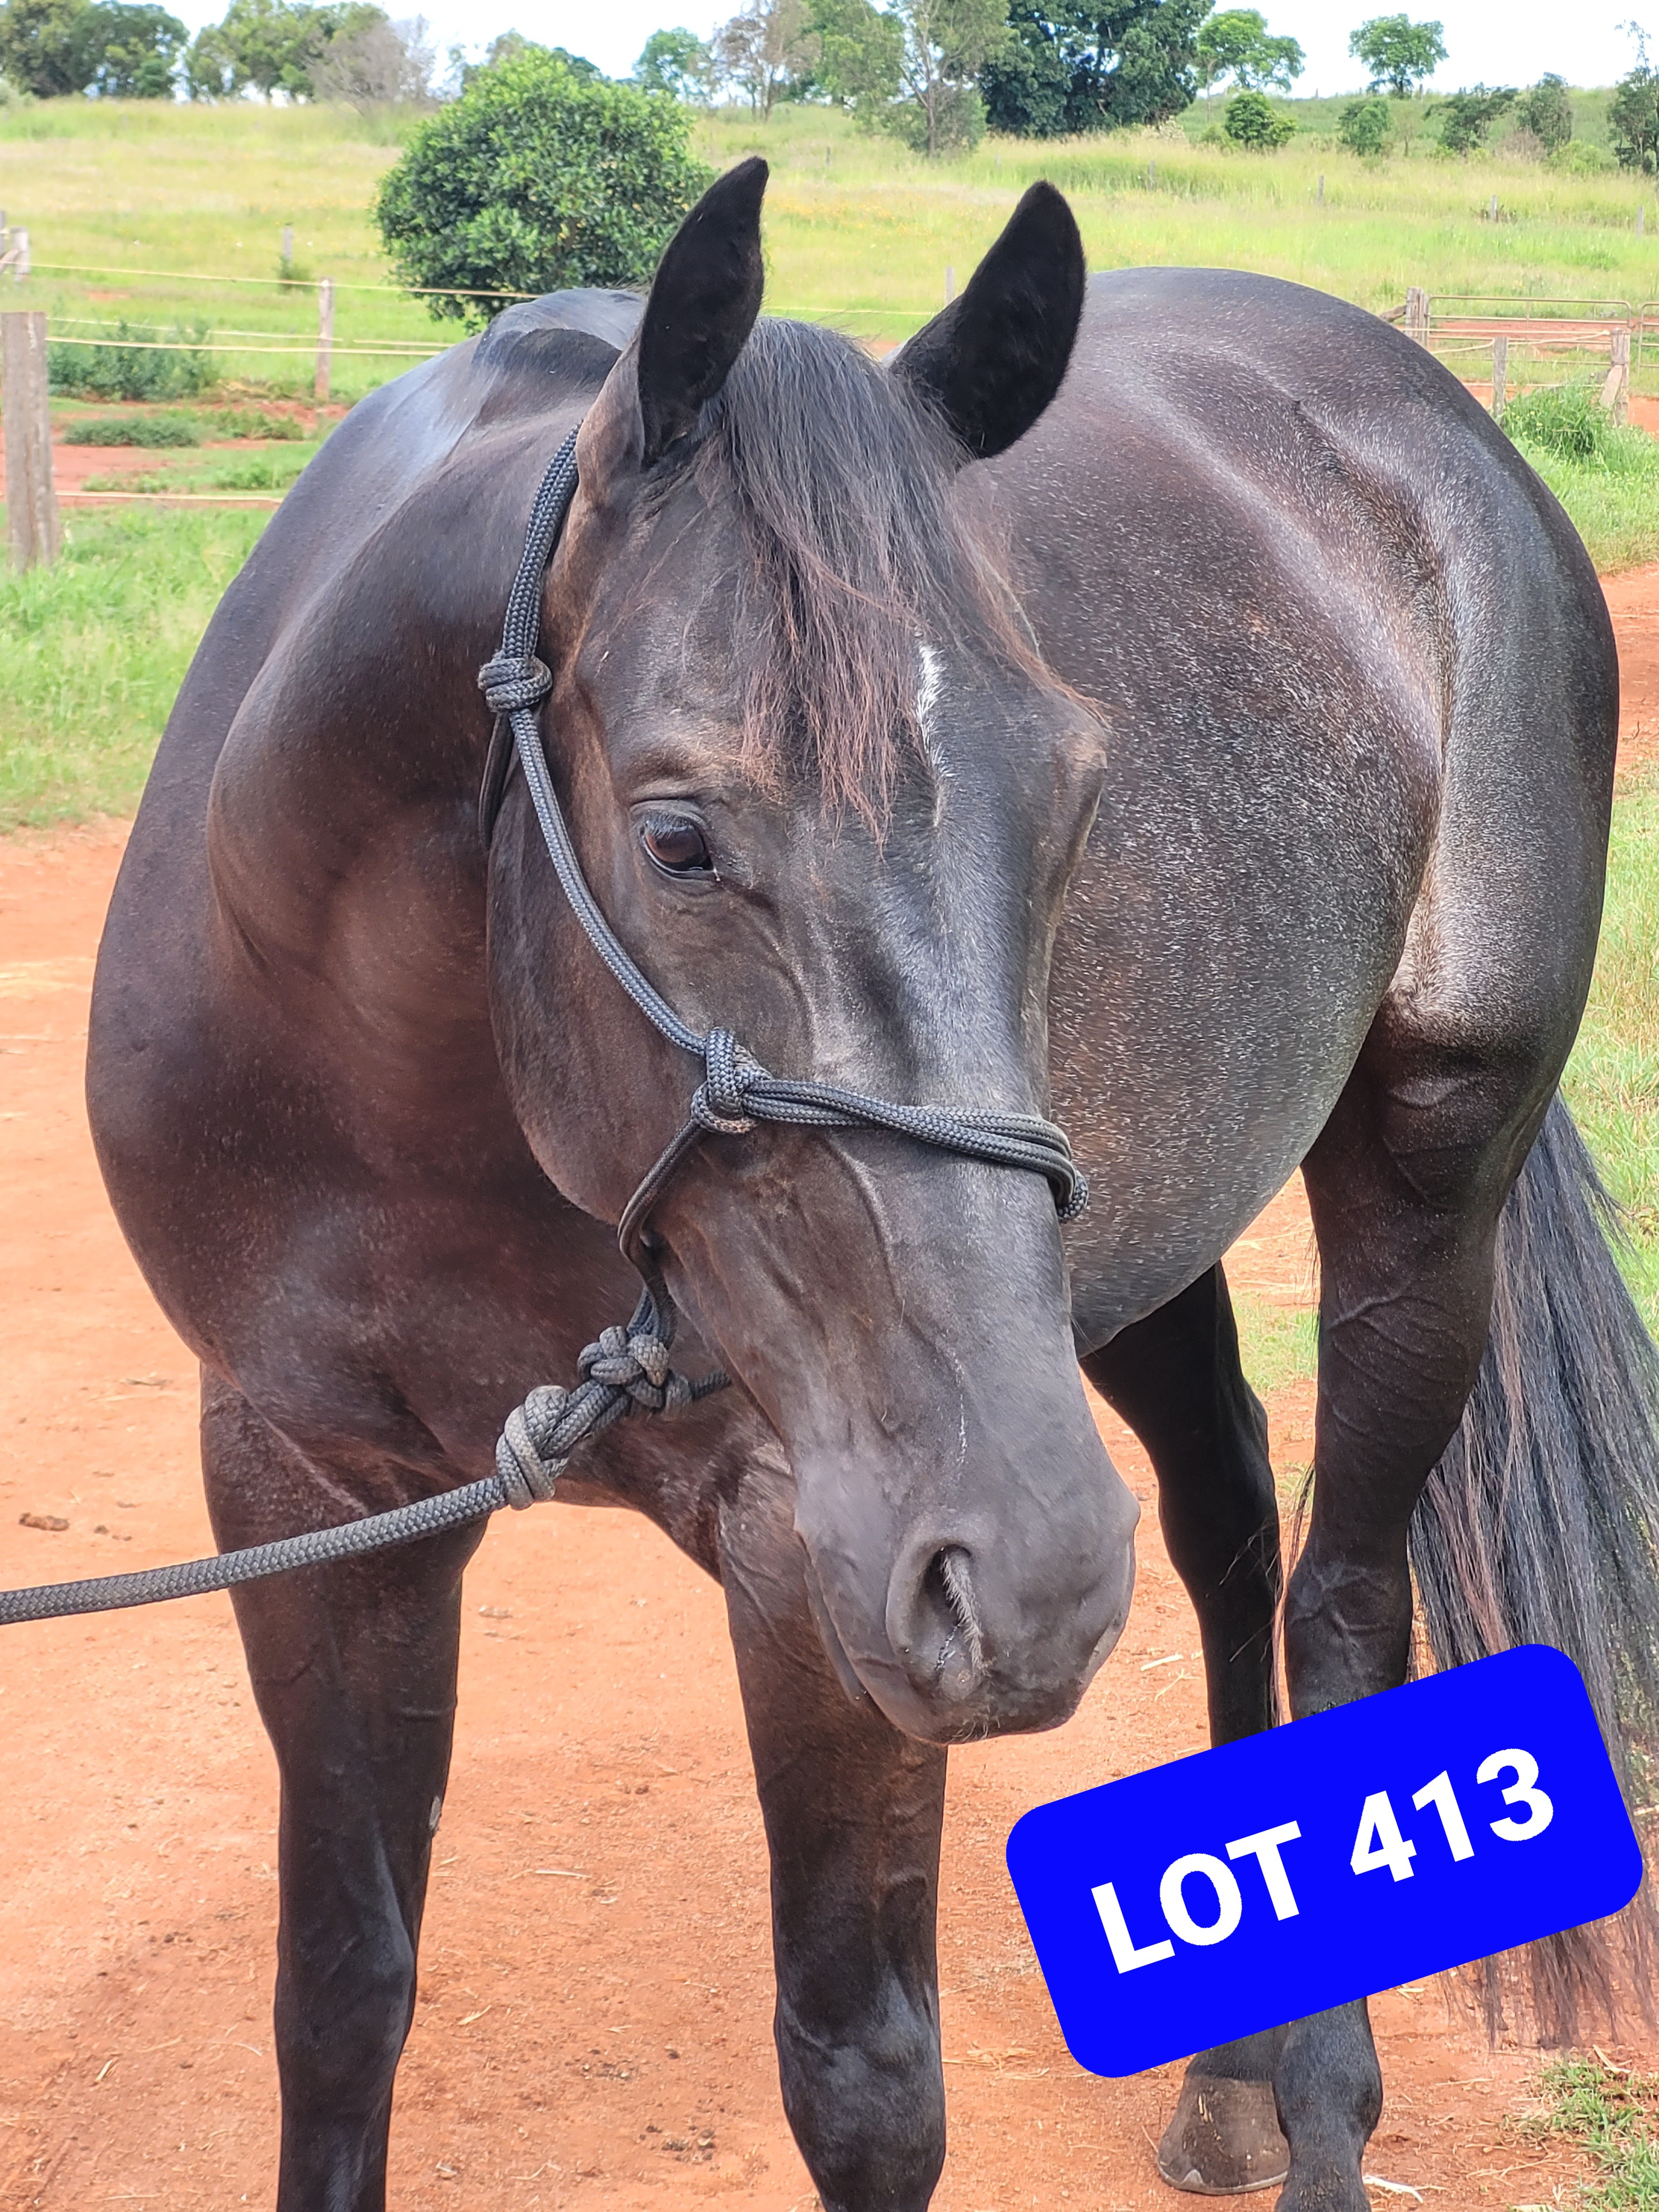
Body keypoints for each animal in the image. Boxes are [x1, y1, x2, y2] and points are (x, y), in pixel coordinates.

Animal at [85, 158, 1659, 2211]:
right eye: (680, 837)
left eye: (1078, 801)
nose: (1031, 1577)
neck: (407, 1077)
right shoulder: (306, 1485)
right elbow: (342, 1997)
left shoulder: (822, 1554)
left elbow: (865, 2086)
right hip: (1125, 1271)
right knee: (1231, 1524)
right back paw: (1232, 2084)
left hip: (1412, 1192)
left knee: (1339, 1597)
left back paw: (1320, 2107)